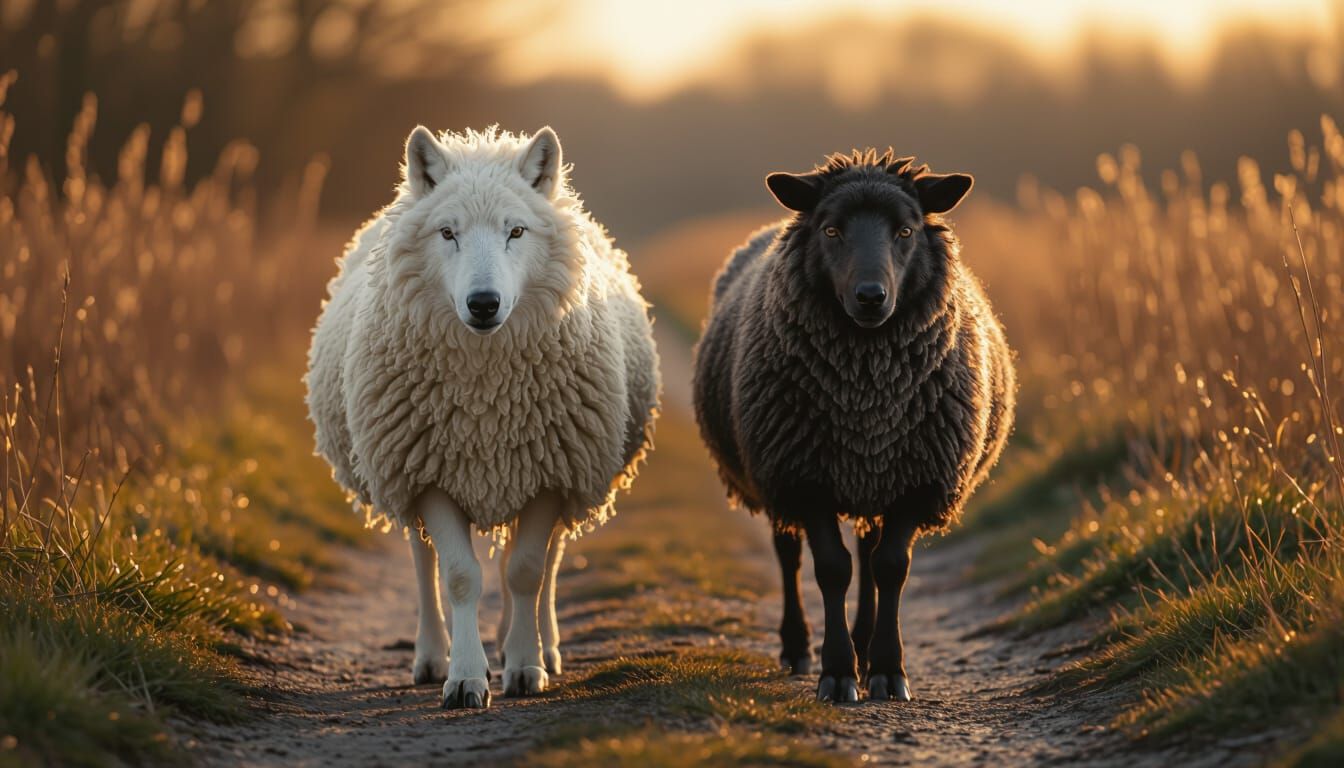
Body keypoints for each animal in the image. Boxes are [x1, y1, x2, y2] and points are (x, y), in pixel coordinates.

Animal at [305, 125, 660, 709]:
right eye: (447, 233)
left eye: (516, 230)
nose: (484, 303)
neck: (486, 397)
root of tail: (483, 144)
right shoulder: (428, 474)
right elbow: (458, 577)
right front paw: (466, 676)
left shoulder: (550, 473)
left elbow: (526, 572)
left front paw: (525, 665)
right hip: (400, 468)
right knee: (422, 563)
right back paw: (431, 656)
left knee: (544, 561)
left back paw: (541, 645)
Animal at [692, 149, 1015, 703]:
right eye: (831, 229)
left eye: (906, 230)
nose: (870, 296)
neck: (867, 395)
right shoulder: (803, 478)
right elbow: (831, 568)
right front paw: (838, 673)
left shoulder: (916, 479)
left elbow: (889, 567)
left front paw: (886, 669)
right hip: (775, 473)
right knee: (788, 555)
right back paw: (798, 647)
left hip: (874, 477)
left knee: (869, 553)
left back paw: (864, 645)